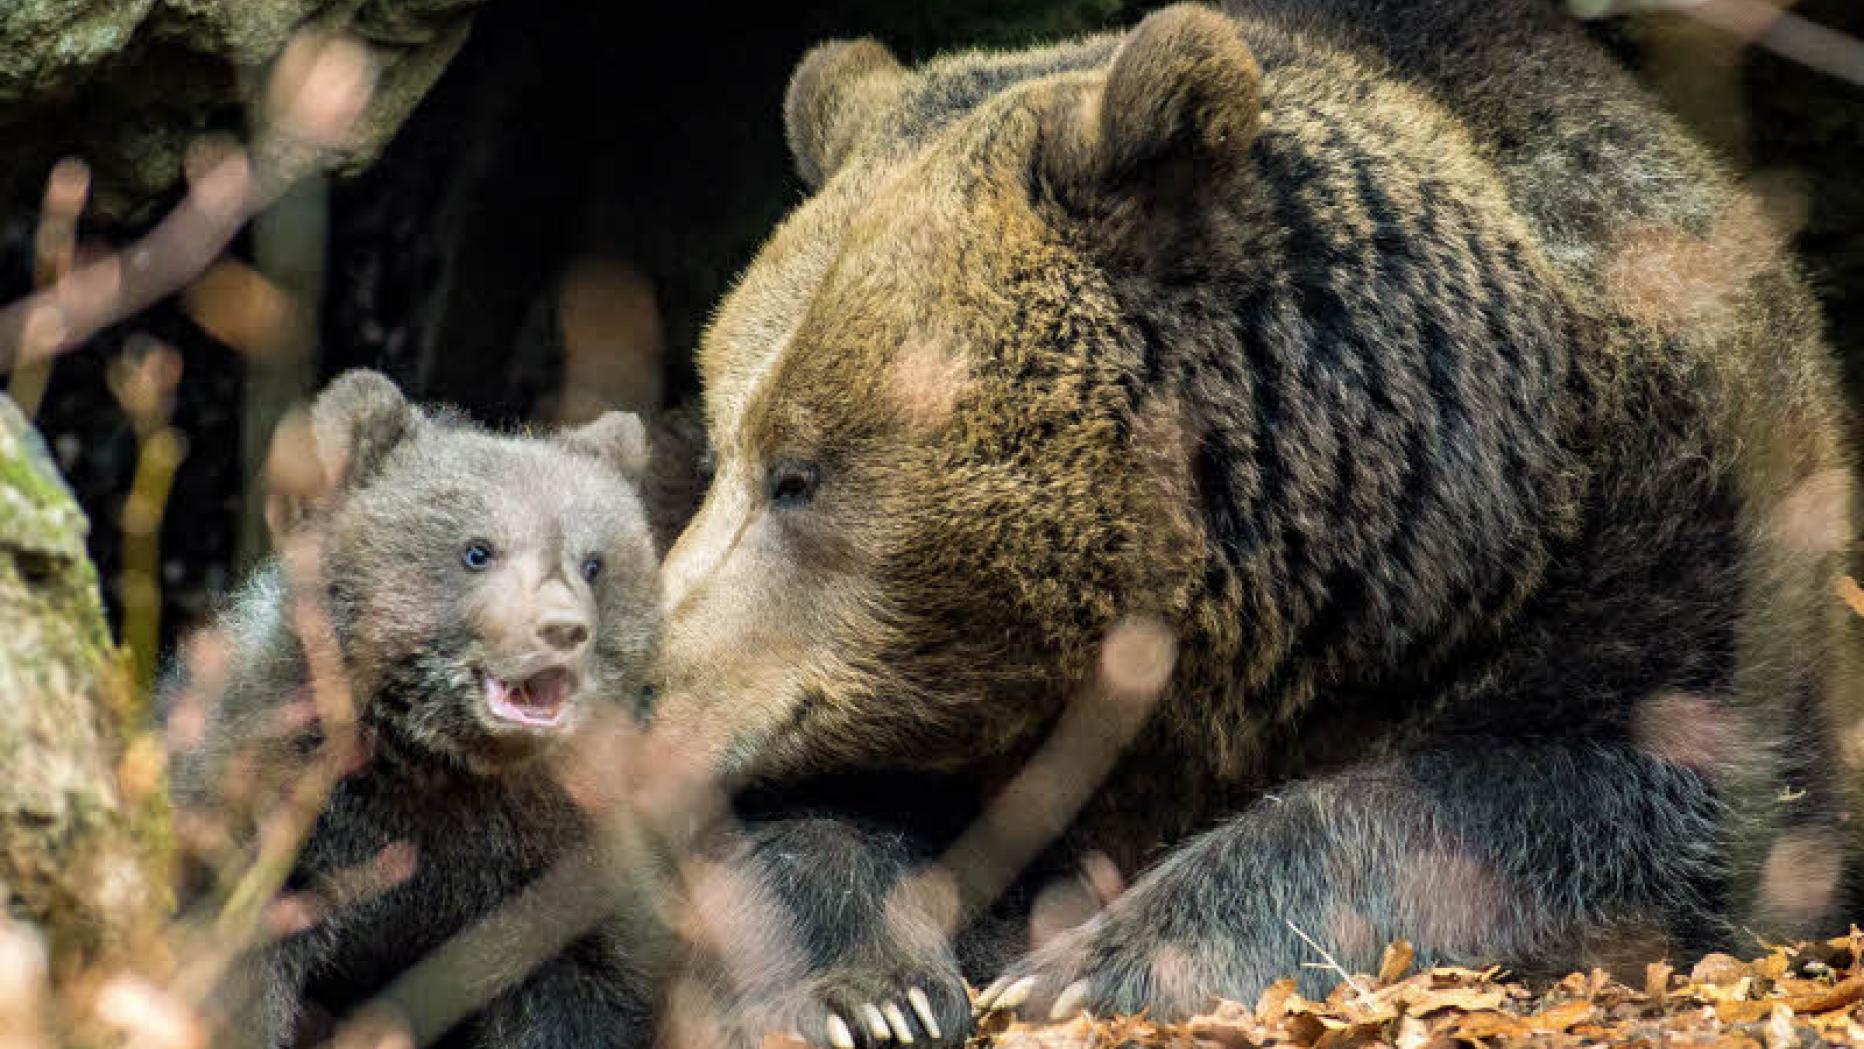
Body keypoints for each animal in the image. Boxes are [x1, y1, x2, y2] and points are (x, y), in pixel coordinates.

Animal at [656, 2, 1864, 1043]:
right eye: (724, 446)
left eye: (797, 473)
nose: (651, 692)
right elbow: (799, 833)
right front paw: (863, 988)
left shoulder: (1665, 547)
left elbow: (1620, 798)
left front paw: (1090, 962)